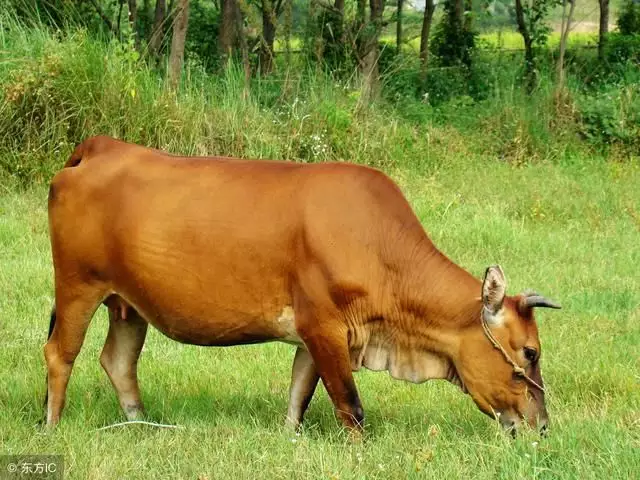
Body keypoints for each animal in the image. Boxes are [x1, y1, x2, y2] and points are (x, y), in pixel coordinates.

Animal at [45, 136, 560, 436]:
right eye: (529, 353)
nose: (541, 426)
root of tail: (102, 146)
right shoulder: (324, 326)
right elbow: (349, 402)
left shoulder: (316, 335)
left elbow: (300, 391)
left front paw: (291, 435)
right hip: (77, 286)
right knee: (60, 354)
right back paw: (51, 425)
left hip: (128, 303)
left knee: (118, 361)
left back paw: (140, 424)